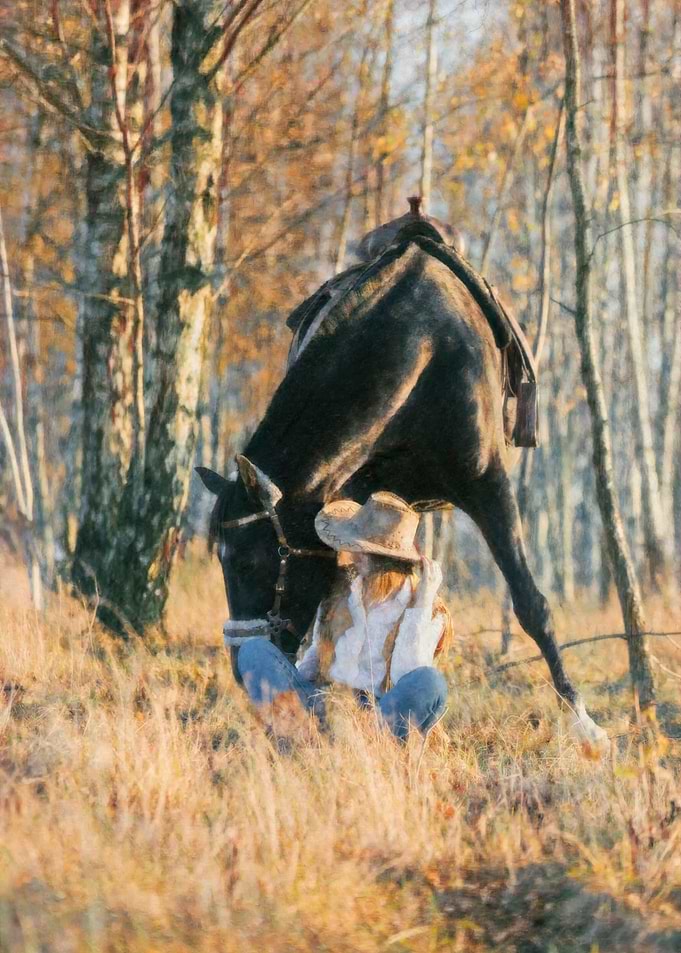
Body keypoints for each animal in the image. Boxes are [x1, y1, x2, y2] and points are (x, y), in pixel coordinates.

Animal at [197, 218, 606, 745]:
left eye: (248, 562)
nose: (238, 664)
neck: (423, 345)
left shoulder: (489, 486)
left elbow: (531, 604)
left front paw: (582, 719)